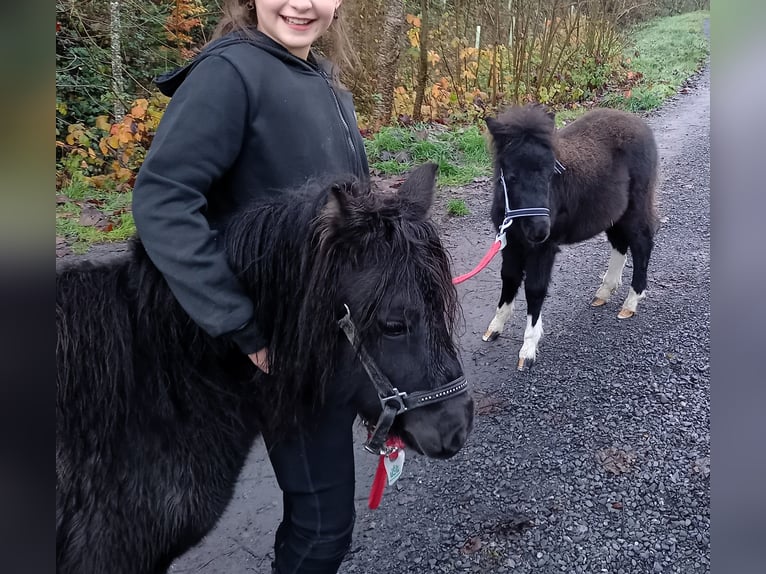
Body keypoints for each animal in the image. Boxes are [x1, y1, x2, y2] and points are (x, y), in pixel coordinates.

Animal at [482, 104, 659, 370]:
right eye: (511, 176)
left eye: (550, 174)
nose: (540, 231)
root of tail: (640, 124)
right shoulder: (510, 243)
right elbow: (509, 278)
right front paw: (495, 327)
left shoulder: (543, 249)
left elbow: (535, 289)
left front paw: (528, 349)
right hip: (611, 212)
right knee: (620, 243)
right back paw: (604, 292)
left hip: (636, 207)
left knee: (641, 244)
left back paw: (631, 303)